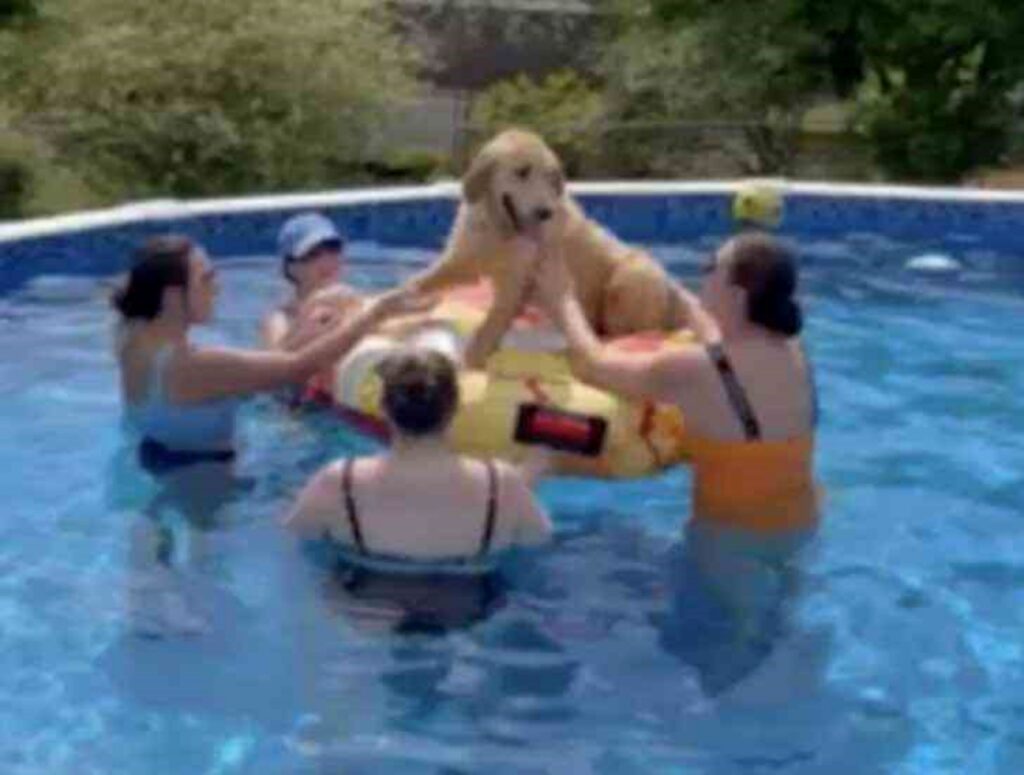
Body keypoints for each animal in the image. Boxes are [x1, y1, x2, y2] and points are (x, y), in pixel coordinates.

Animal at [405, 128, 679, 366]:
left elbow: (489, 326)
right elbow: (422, 281)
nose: (545, 212)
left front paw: (472, 358)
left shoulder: (513, 283)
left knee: (626, 329)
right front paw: (402, 298)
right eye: (522, 171)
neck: (499, 228)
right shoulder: (463, 259)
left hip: (633, 274)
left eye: (550, 177)